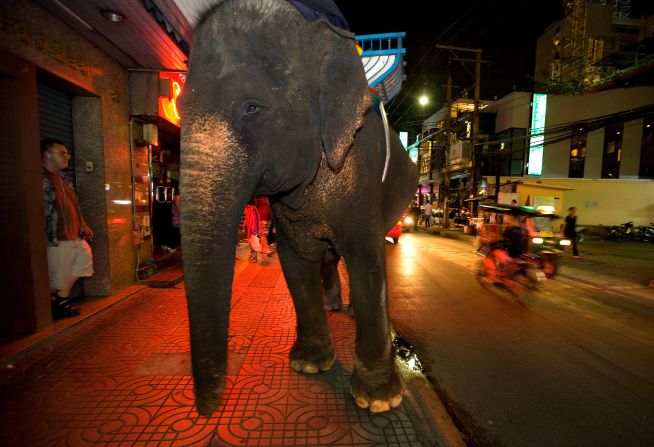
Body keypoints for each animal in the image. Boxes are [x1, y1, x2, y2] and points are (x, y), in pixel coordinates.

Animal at [179, 0, 418, 418]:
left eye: (252, 108)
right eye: (179, 107)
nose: (206, 410)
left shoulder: (360, 170)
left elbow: (367, 259)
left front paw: (379, 401)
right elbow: (295, 262)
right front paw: (308, 364)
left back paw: (348, 311)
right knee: (327, 257)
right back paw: (332, 304)